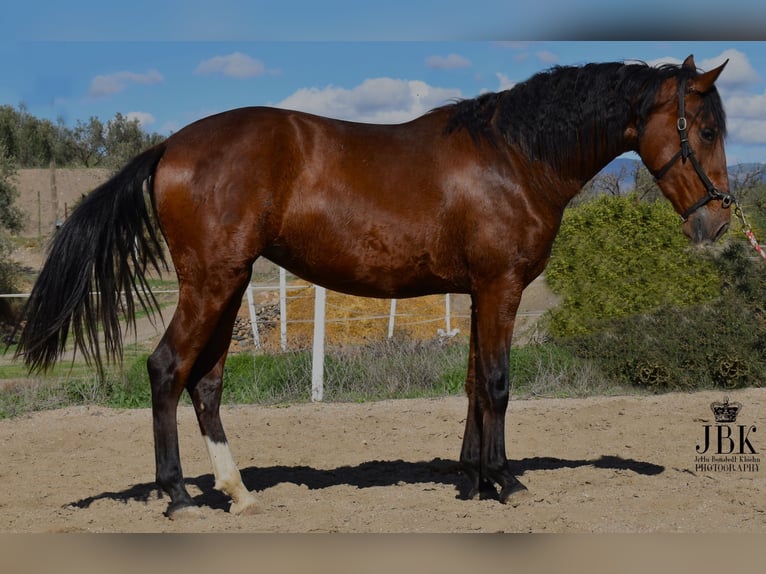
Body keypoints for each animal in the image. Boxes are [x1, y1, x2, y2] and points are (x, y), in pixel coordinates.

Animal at [13, 56, 732, 520]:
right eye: (705, 129)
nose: (719, 221)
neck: (513, 157)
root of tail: (170, 146)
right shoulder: (501, 286)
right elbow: (499, 383)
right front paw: (505, 482)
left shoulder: (478, 292)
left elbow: (473, 384)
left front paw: (471, 481)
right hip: (210, 284)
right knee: (166, 369)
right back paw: (179, 496)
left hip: (229, 283)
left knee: (206, 383)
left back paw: (237, 492)